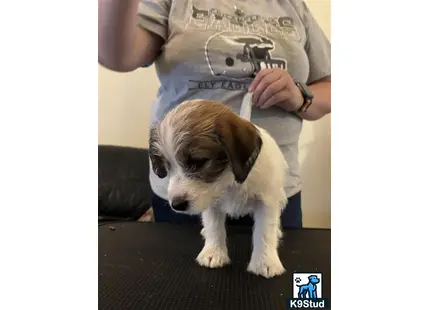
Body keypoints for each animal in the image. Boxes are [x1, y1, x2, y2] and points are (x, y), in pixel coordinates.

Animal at [149, 99, 288, 278]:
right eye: (167, 167)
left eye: (198, 161)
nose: (176, 205)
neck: (229, 181)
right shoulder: (211, 203)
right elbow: (214, 227)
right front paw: (213, 252)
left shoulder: (267, 201)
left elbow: (265, 231)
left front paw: (265, 261)